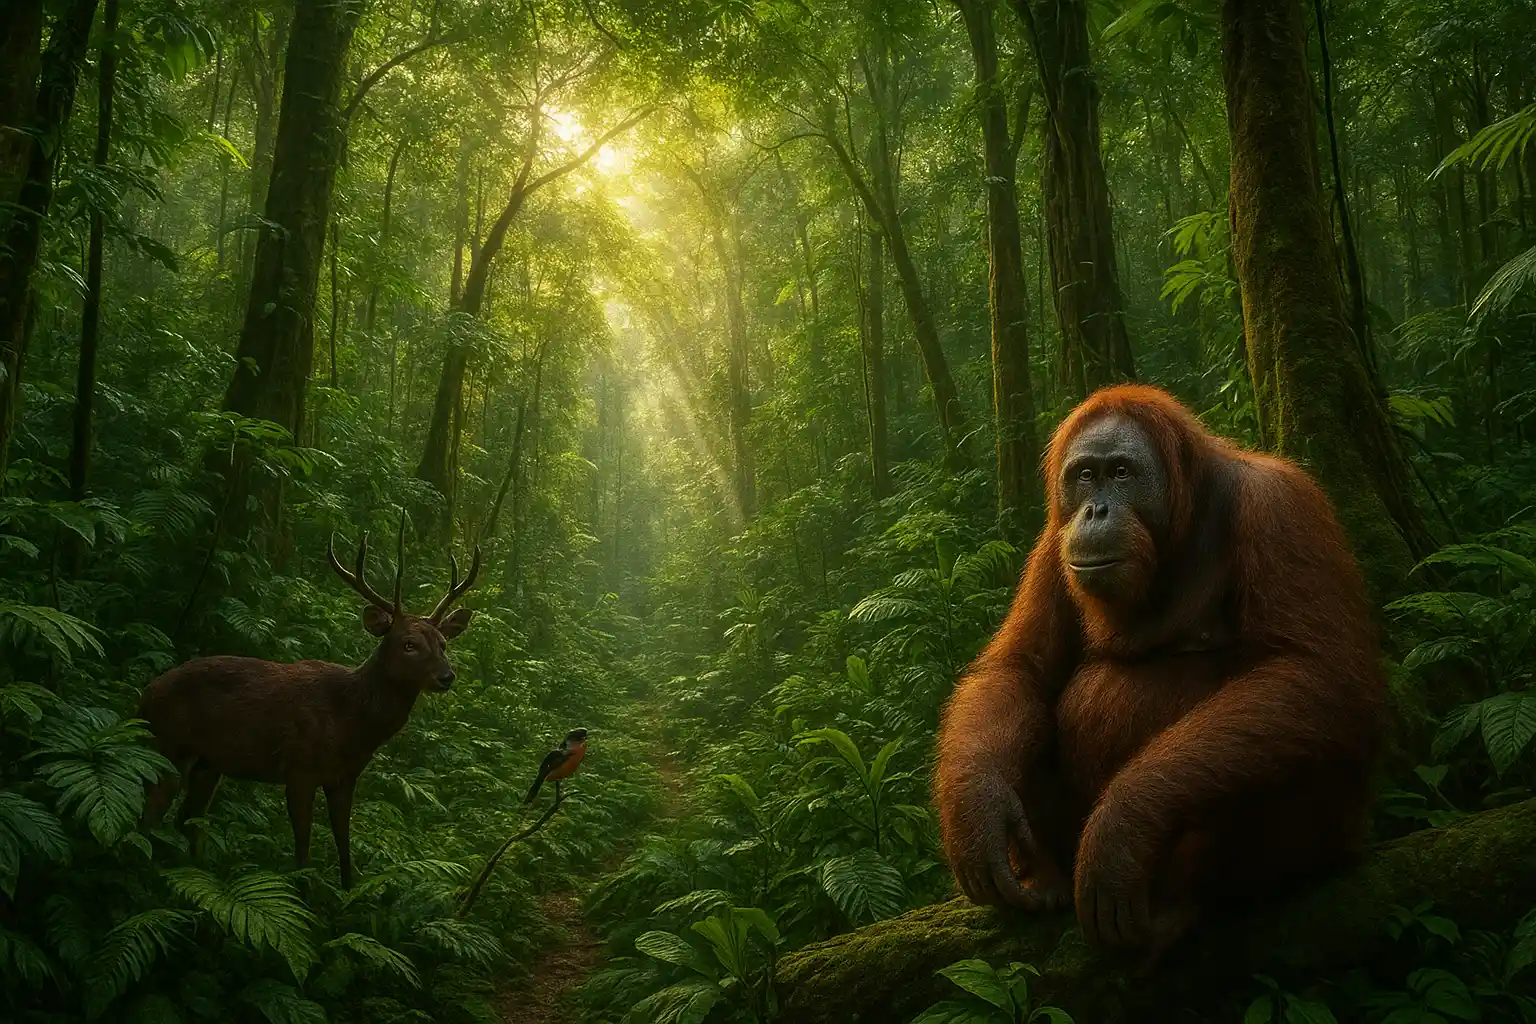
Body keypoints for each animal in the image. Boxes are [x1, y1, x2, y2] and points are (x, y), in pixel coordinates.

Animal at [139, 522, 482, 887]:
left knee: (187, 819)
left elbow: (344, 845)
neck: (350, 722)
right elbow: (302, 848)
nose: (446, 677)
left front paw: (348, 892)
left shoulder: (345, 777)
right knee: (150, 816)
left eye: (443, 644)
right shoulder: (298, 768)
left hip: (208, 764)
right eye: (408, 644)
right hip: (168, 746)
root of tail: (144, 696)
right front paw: (302, 894)